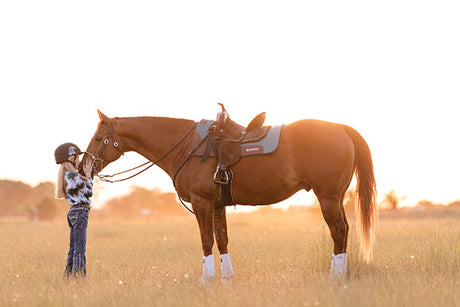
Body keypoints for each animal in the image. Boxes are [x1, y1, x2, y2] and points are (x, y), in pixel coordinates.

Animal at [82, 109, 376, 282]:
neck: (188, 147)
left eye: (97, 137)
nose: (85, 166)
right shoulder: (217, 205)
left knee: (338, 231)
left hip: (327, 197)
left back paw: (336, 276)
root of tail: (341, 128)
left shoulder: (202, 203)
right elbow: (222, 239)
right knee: (344, 230)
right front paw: (226, 277)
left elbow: (206, 240)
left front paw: (207, 279)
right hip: (335, 197)